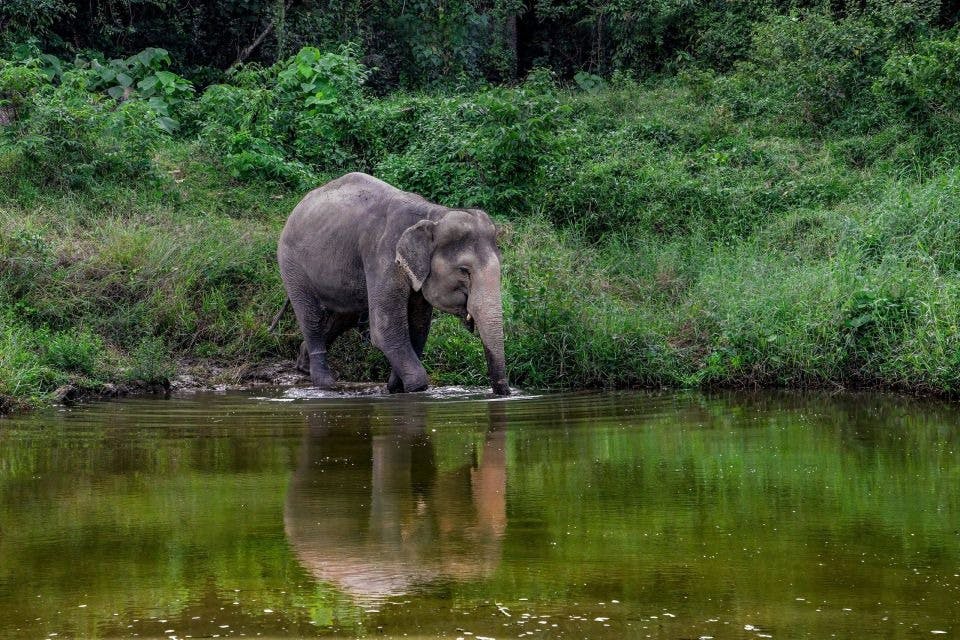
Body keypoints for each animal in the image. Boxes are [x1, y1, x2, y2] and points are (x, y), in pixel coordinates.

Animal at [277, 172, 509, 395]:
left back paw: (303, 364)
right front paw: (414, 387)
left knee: (345, 316)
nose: (503, 392)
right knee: (311, 316)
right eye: (464, 271)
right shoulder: (384, 258)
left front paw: (395, 387)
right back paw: (325, 383)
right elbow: (384, 328)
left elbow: (418, 328)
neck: (433, 214)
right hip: (291, 264)